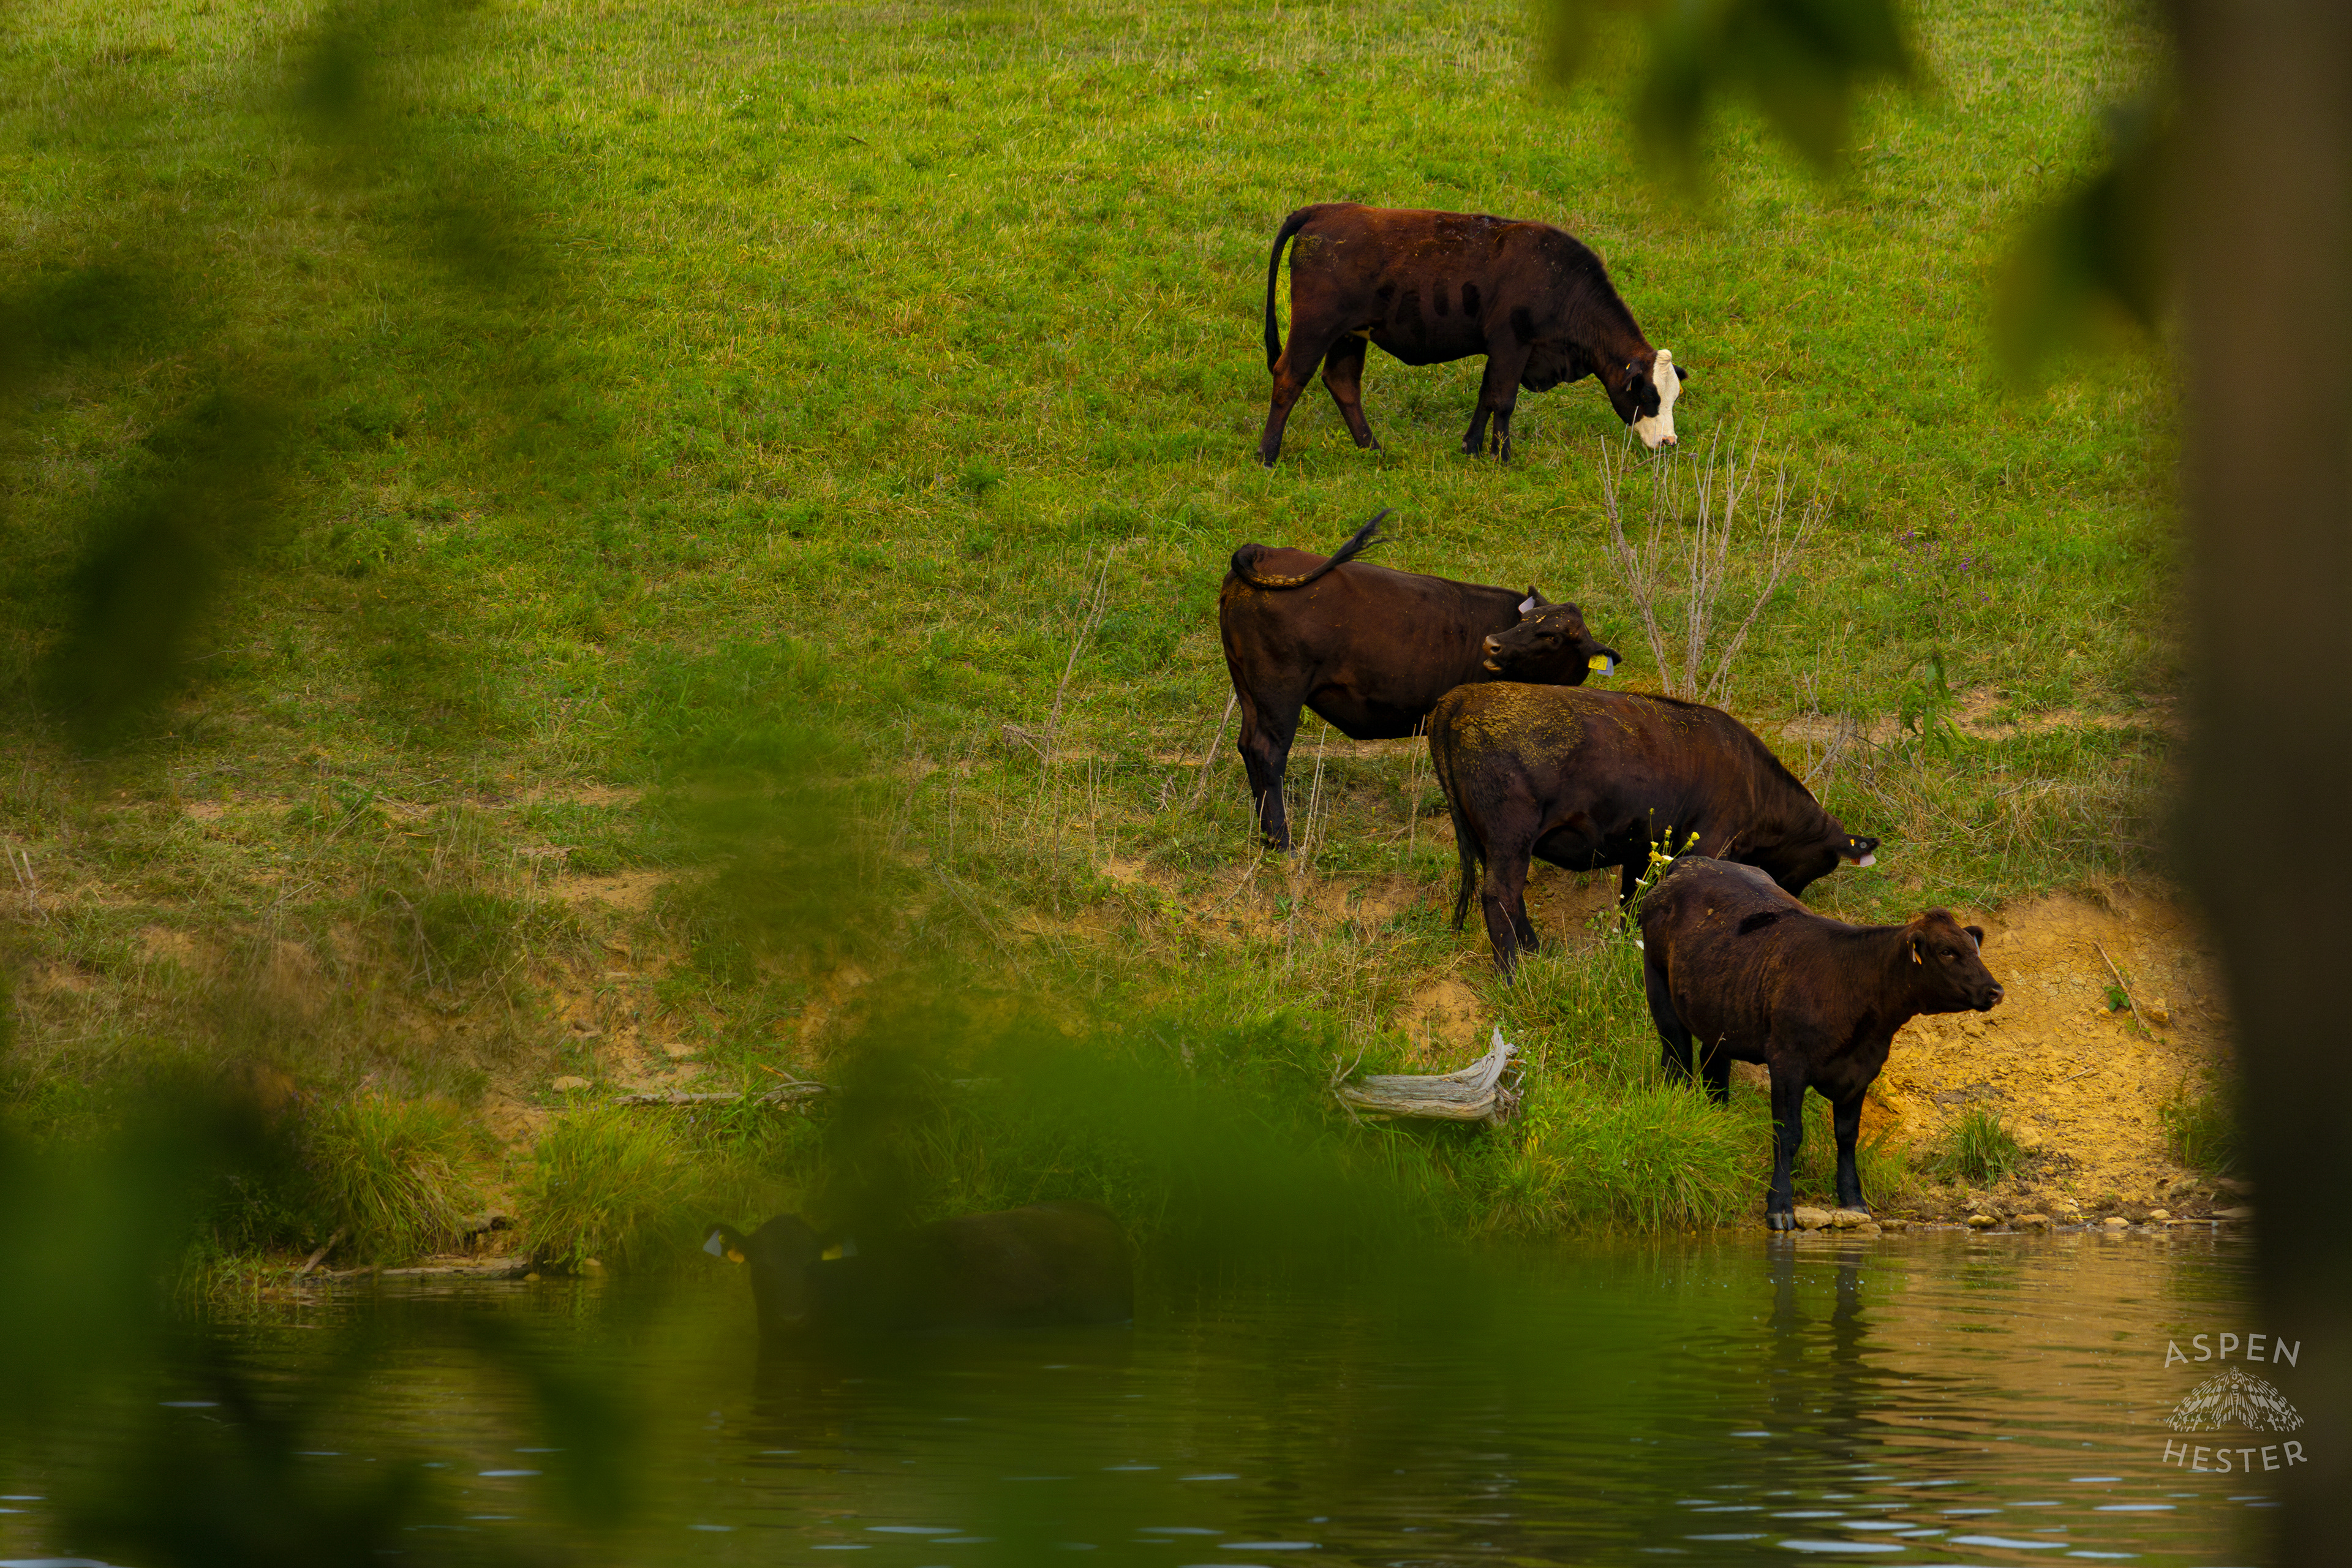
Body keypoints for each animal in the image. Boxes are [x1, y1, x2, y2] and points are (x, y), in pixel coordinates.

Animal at [1219, 510, 1620, 850]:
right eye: (1525, 622)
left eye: (1552, 636)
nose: (1492, 644)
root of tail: (1262, 551)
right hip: (1280, 690)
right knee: (1268, 752)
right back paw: (1282, 841)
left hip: (1247, 686)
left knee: (1247, 745)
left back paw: (1265, 835)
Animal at [1257, 202, 1686, 467]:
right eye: (1649, 396)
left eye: (1674, 397)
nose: (1669, 442)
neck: (1559, 280)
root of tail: (1324, 210)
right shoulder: (1513, 344)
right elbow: (1504, 401)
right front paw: (1503, 457)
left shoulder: (1501, 350)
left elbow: (1487, 396)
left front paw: (1473, 447)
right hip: (1315, 327)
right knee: (1289, 377)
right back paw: (1267, 455)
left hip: (1350, 334)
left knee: (1343, 383)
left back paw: (1372, 449)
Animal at [1426, 684, 1878, 974]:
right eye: (1822, 865)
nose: (1792, 896)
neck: (1755, 782)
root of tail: (1462, 695)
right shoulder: (1711, 844)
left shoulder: (1640, 850)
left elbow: (1631, 903)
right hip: (1511, 837)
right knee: (1499, 896)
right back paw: (1513, 973)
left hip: (1494, 843)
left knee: (1512, 897)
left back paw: (1537, 954)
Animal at [1637, 856, 2003, 1229]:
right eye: (1946, 952)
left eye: (1975, 949)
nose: (1995, 991)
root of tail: (1692, 862)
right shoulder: (1787, 1064)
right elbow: (1788, 1134)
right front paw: (1780, 1204)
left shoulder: (1861, 1072)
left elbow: (1847, 1136)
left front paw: (1854, 1199)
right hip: (1659, 985)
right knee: (1677, 1059)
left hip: (1720, 1015)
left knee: (1713, 1068)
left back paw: (1720, 1120)